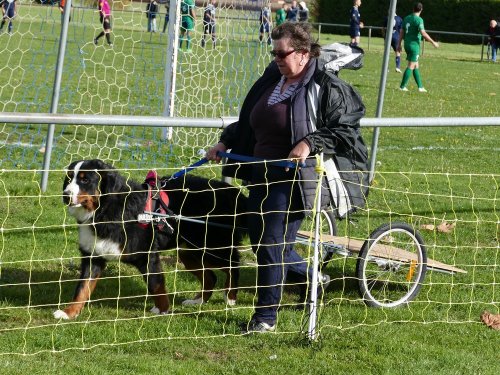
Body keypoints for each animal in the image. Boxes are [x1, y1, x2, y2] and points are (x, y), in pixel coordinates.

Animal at [54, 159, 246, 320]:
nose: (65, 194)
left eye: (85, 180)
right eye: (69, 178)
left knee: (233, 266)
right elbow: (82, 288)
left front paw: (163, 310)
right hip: (189, 253)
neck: (105, 211)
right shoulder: (93, 256)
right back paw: (198, 301)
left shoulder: (147, 255)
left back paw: (230, 297)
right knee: (210, 276)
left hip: (214, 247)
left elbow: (155, 285)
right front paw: (69, 312)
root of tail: (232, 191)